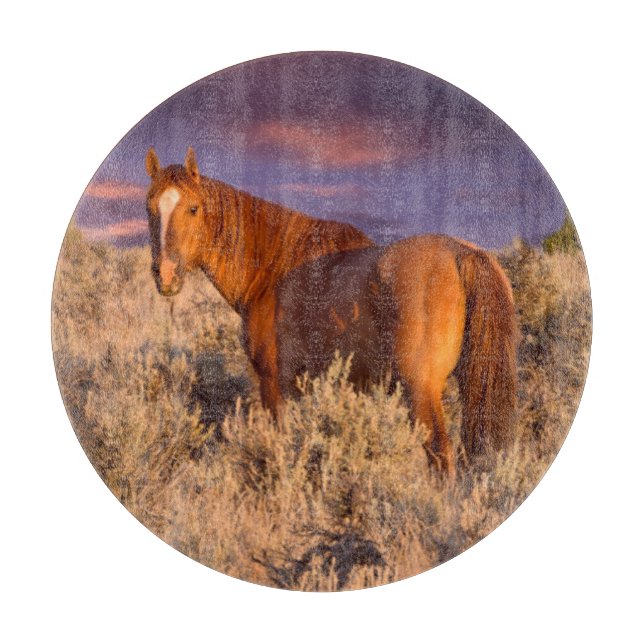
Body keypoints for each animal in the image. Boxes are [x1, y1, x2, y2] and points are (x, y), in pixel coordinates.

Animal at [145, 147, 518, 476]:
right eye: (150, 208)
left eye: (194, 208)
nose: (166, 275)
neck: (272, 269)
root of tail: (462, 254)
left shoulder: (274, 383)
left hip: (420, 390)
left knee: (441, 454)